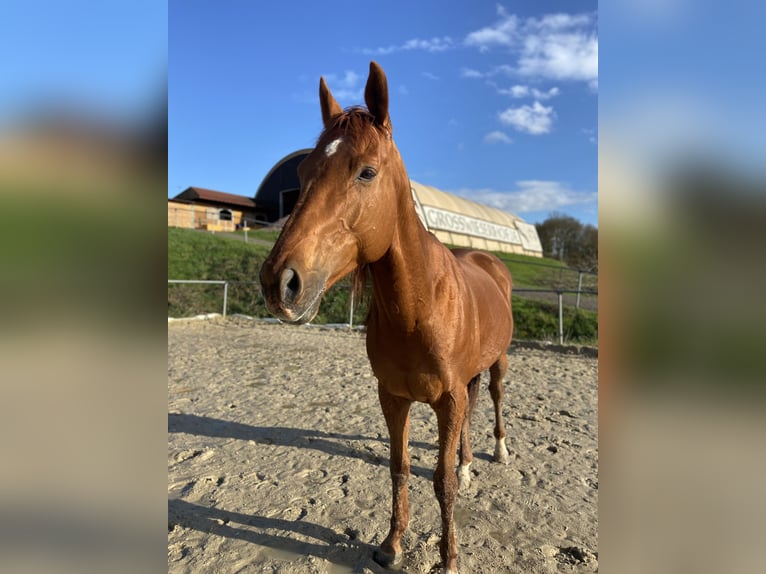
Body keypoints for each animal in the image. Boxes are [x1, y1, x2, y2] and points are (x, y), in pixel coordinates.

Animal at [259, 61, 514, 574]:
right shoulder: (394, 398)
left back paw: (497, 452)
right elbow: (399, 468)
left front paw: (450, 558)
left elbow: (440, 482)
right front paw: (392, 545)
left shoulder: (447, 400)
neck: (419, 309)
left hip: (497, 364)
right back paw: (468, 463)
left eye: (366, 172)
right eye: (303, 171)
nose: (280, 282)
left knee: (495, 399)